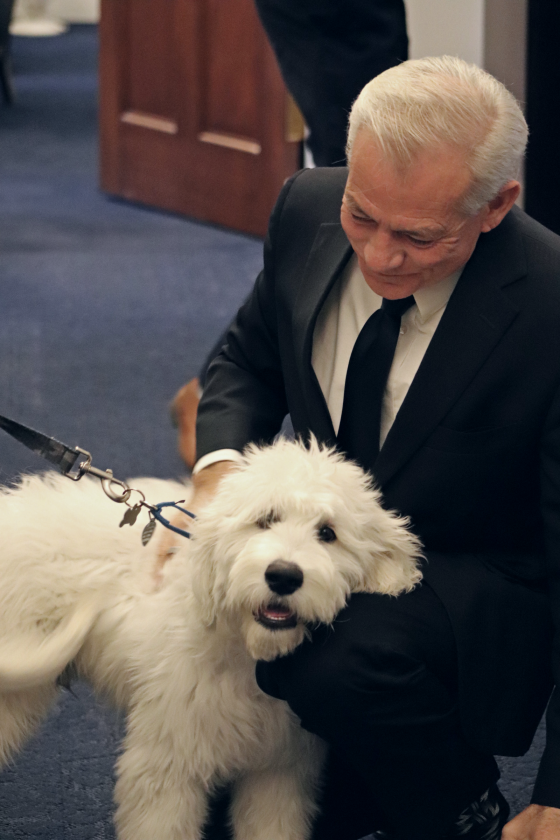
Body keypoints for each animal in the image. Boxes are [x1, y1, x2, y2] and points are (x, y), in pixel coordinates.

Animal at [0, 437, 422, 840]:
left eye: (328, 533)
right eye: (265, 520)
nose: (283, 576)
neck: (244, 653)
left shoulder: (279, 773)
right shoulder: (166, 769)